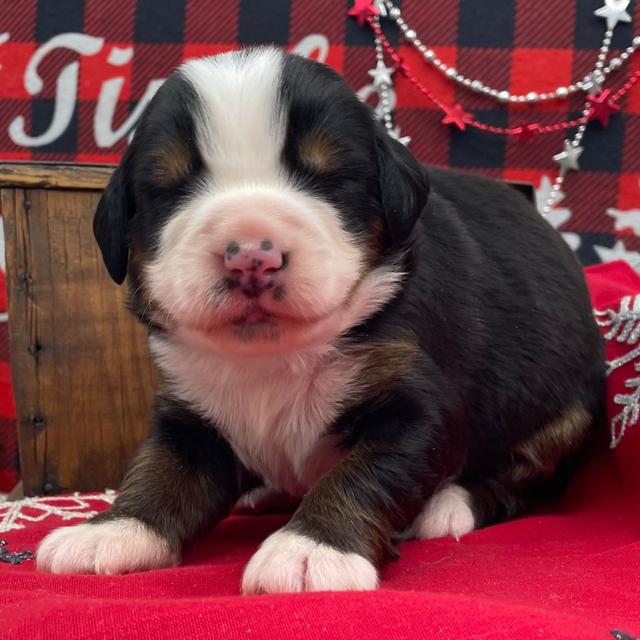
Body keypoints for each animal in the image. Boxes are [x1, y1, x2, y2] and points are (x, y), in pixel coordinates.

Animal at [35, 47, 604, 592]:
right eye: (168, 188)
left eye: (330, 178)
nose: (251, 257)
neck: (273, 356)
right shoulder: (190, 407)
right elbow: (161, 468)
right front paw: (113, 530)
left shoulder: (416, 403)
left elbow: (365, 473)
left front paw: (312, 548)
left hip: (564, 418)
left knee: (521, 475)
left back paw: (449, 505)